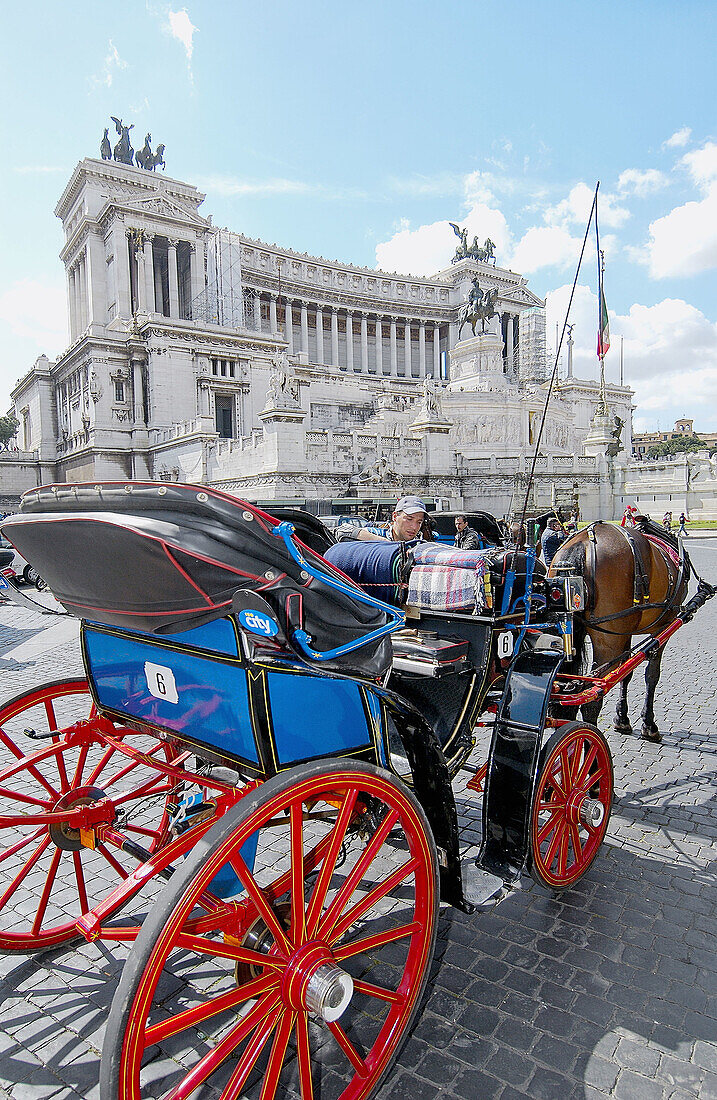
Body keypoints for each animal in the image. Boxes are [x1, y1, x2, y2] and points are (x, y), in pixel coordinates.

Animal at [549, 519, 690, 743]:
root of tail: (582, 543)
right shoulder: (664, 627)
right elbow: (651, 675)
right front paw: (649, 724)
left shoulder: (626, 633)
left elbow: (625, 673)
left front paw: (622, 719)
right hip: (608, 641)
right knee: (591, 696)